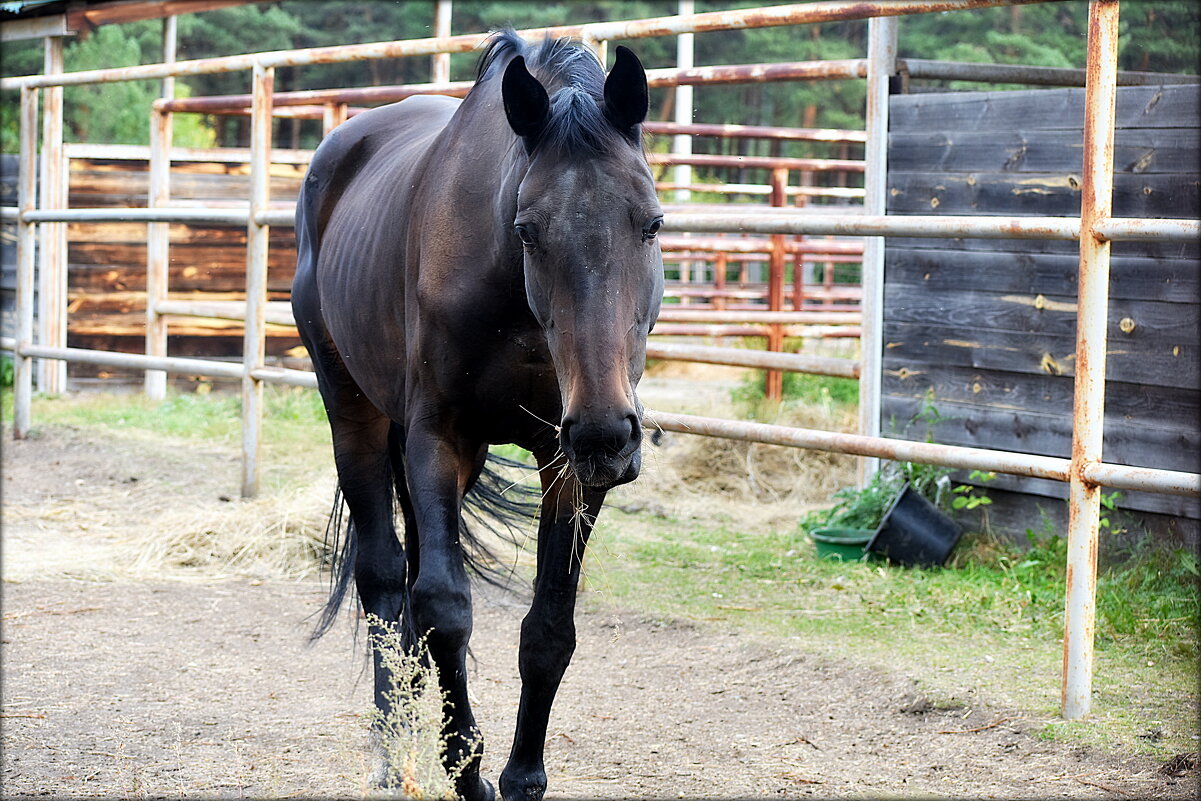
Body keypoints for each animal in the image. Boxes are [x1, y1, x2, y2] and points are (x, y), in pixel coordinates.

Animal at [290, 31, 667, 801]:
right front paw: (466, 770)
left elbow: (548, 626)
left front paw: (522, 776)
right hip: (354, 413)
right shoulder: (439, 438)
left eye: (651, 222)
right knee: (384, 579)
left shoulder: (567, 464)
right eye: (527, 230)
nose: (606, 433)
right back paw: (392, 748)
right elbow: (444, 606)